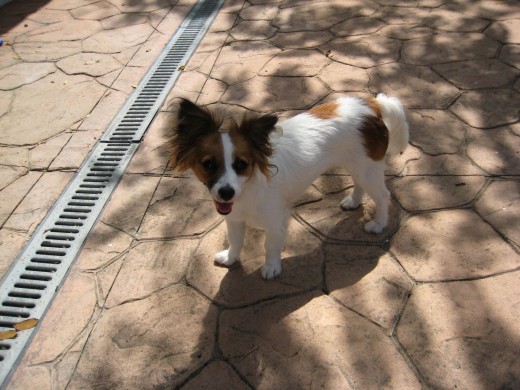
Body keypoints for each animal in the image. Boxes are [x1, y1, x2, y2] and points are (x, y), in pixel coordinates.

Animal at [169, 95, 408, 280]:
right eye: (208, 165)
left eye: (241, 165)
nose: (226, 193)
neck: (249, 187)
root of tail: (372, 105)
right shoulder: (234, 218)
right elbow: (236, 241)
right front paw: (230, 258)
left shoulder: (276, 221)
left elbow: (271, 246)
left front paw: (271, 267)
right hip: (358, 166)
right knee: (359, 183)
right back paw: (354, 201)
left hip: (367, 169)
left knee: (383, 195)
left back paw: (378, 223)